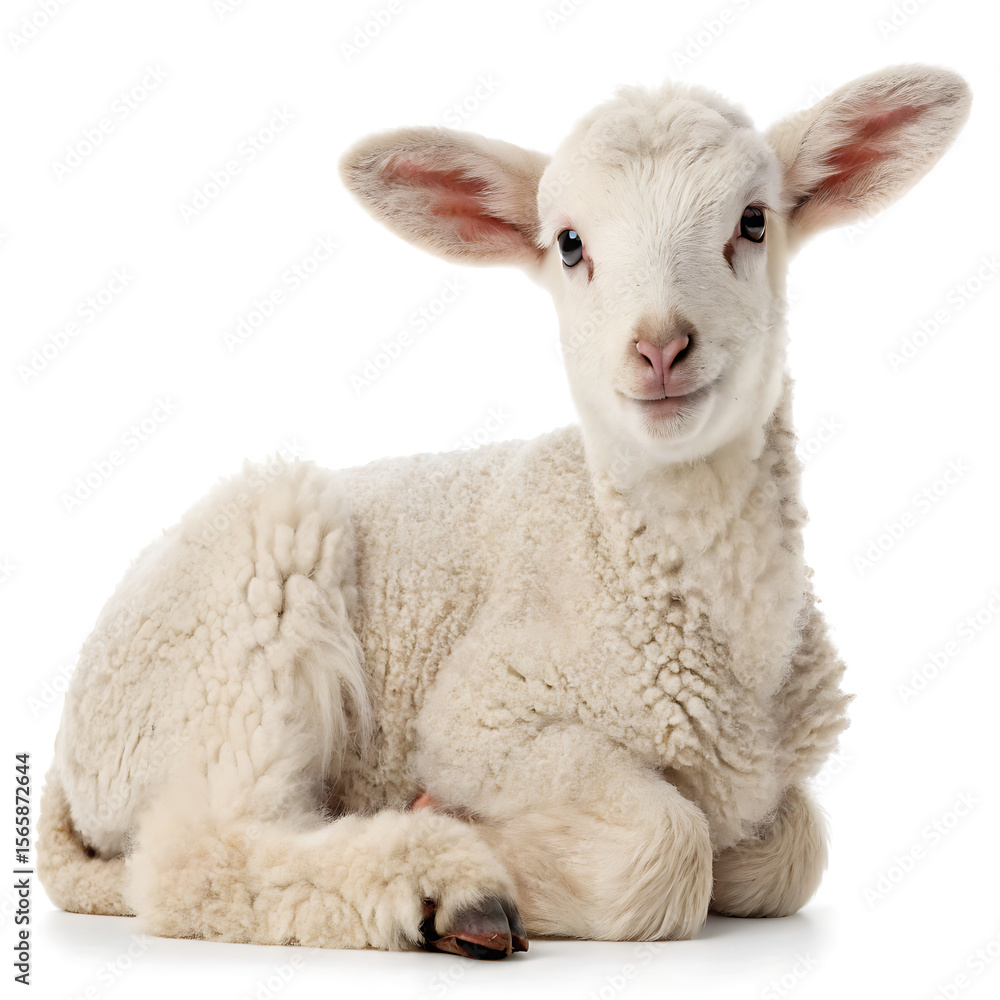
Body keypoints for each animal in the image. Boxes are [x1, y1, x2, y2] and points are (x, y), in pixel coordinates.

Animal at [38, 64, 971, 959]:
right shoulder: (485, 717)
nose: (660, 347)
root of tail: (68, 754)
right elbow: (670, 848)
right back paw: (447, 887)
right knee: (196, 857)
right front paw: (489, 839)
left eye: (753, 222)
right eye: (570, 244)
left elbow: (793, 852)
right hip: (247, 622)